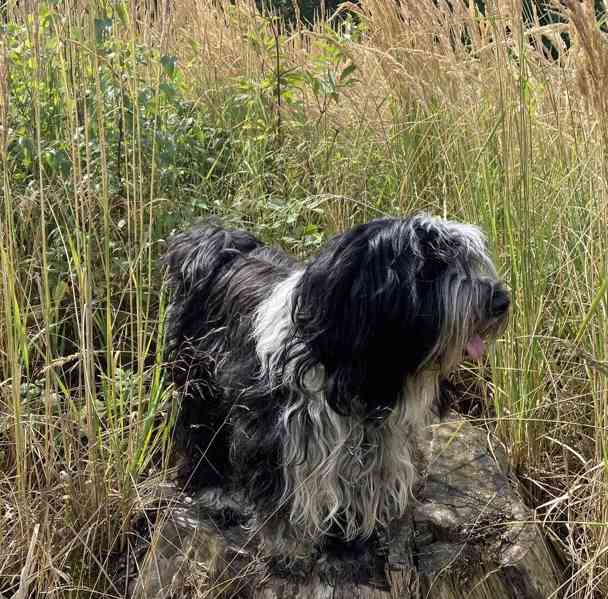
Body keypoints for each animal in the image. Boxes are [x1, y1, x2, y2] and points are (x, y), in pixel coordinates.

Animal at [162, 213, 508, 556]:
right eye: (432, 266)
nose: (501, 300)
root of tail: (222, 247)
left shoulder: (376, 438)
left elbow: (358, 484)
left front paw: (348, 537)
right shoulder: (278, 429)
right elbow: (280, 495)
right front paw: (286, 547)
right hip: (200, 379)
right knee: (200, 431)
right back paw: (214, 491)